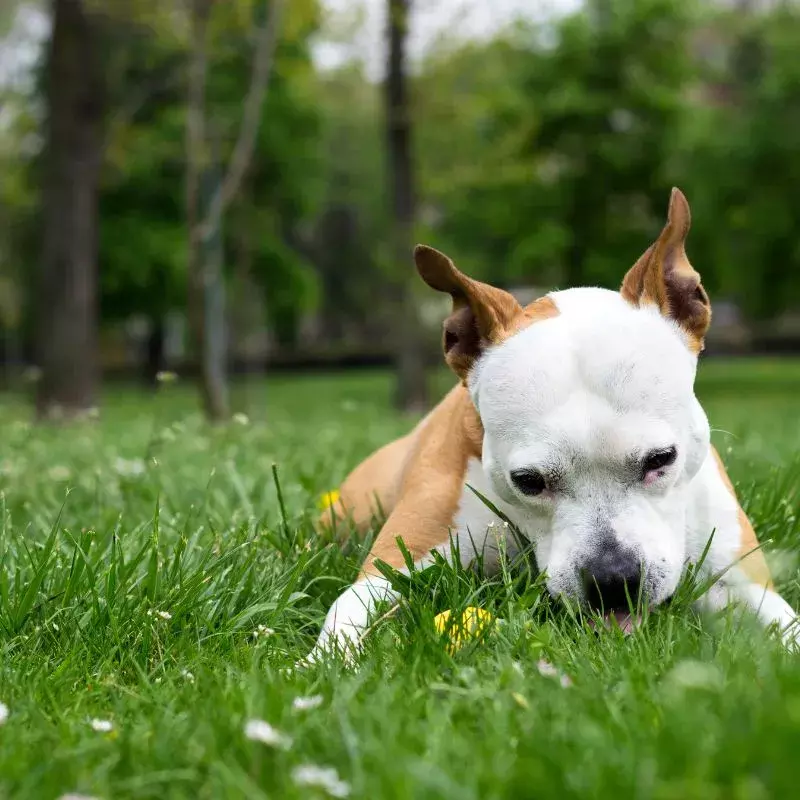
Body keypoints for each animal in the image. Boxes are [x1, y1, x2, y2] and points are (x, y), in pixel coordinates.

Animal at [304, 188, 796, 664]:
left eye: (662, 459)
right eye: (529, 481)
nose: (613, 579)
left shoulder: (743, 585)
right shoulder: (391, 568)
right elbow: (347, 612)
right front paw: (316, 667)